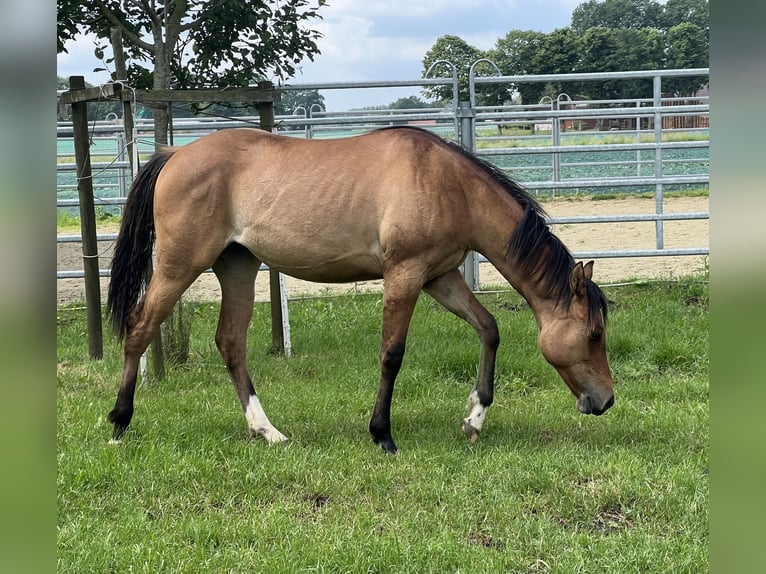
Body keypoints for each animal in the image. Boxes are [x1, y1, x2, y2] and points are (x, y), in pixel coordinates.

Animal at [106, 126, 613, 454]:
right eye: (594, 334)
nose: (606, 400)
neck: (449, 185)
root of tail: (174, 155)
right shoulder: (405, 275)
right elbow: (392, 354)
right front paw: (382, 433)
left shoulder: (440, 277)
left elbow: (489, 328)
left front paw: (474, 417)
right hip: (178, 266)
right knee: (139, 328)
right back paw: (118, 423)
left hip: (237, 268)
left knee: (230, 343)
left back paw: (267, 431)